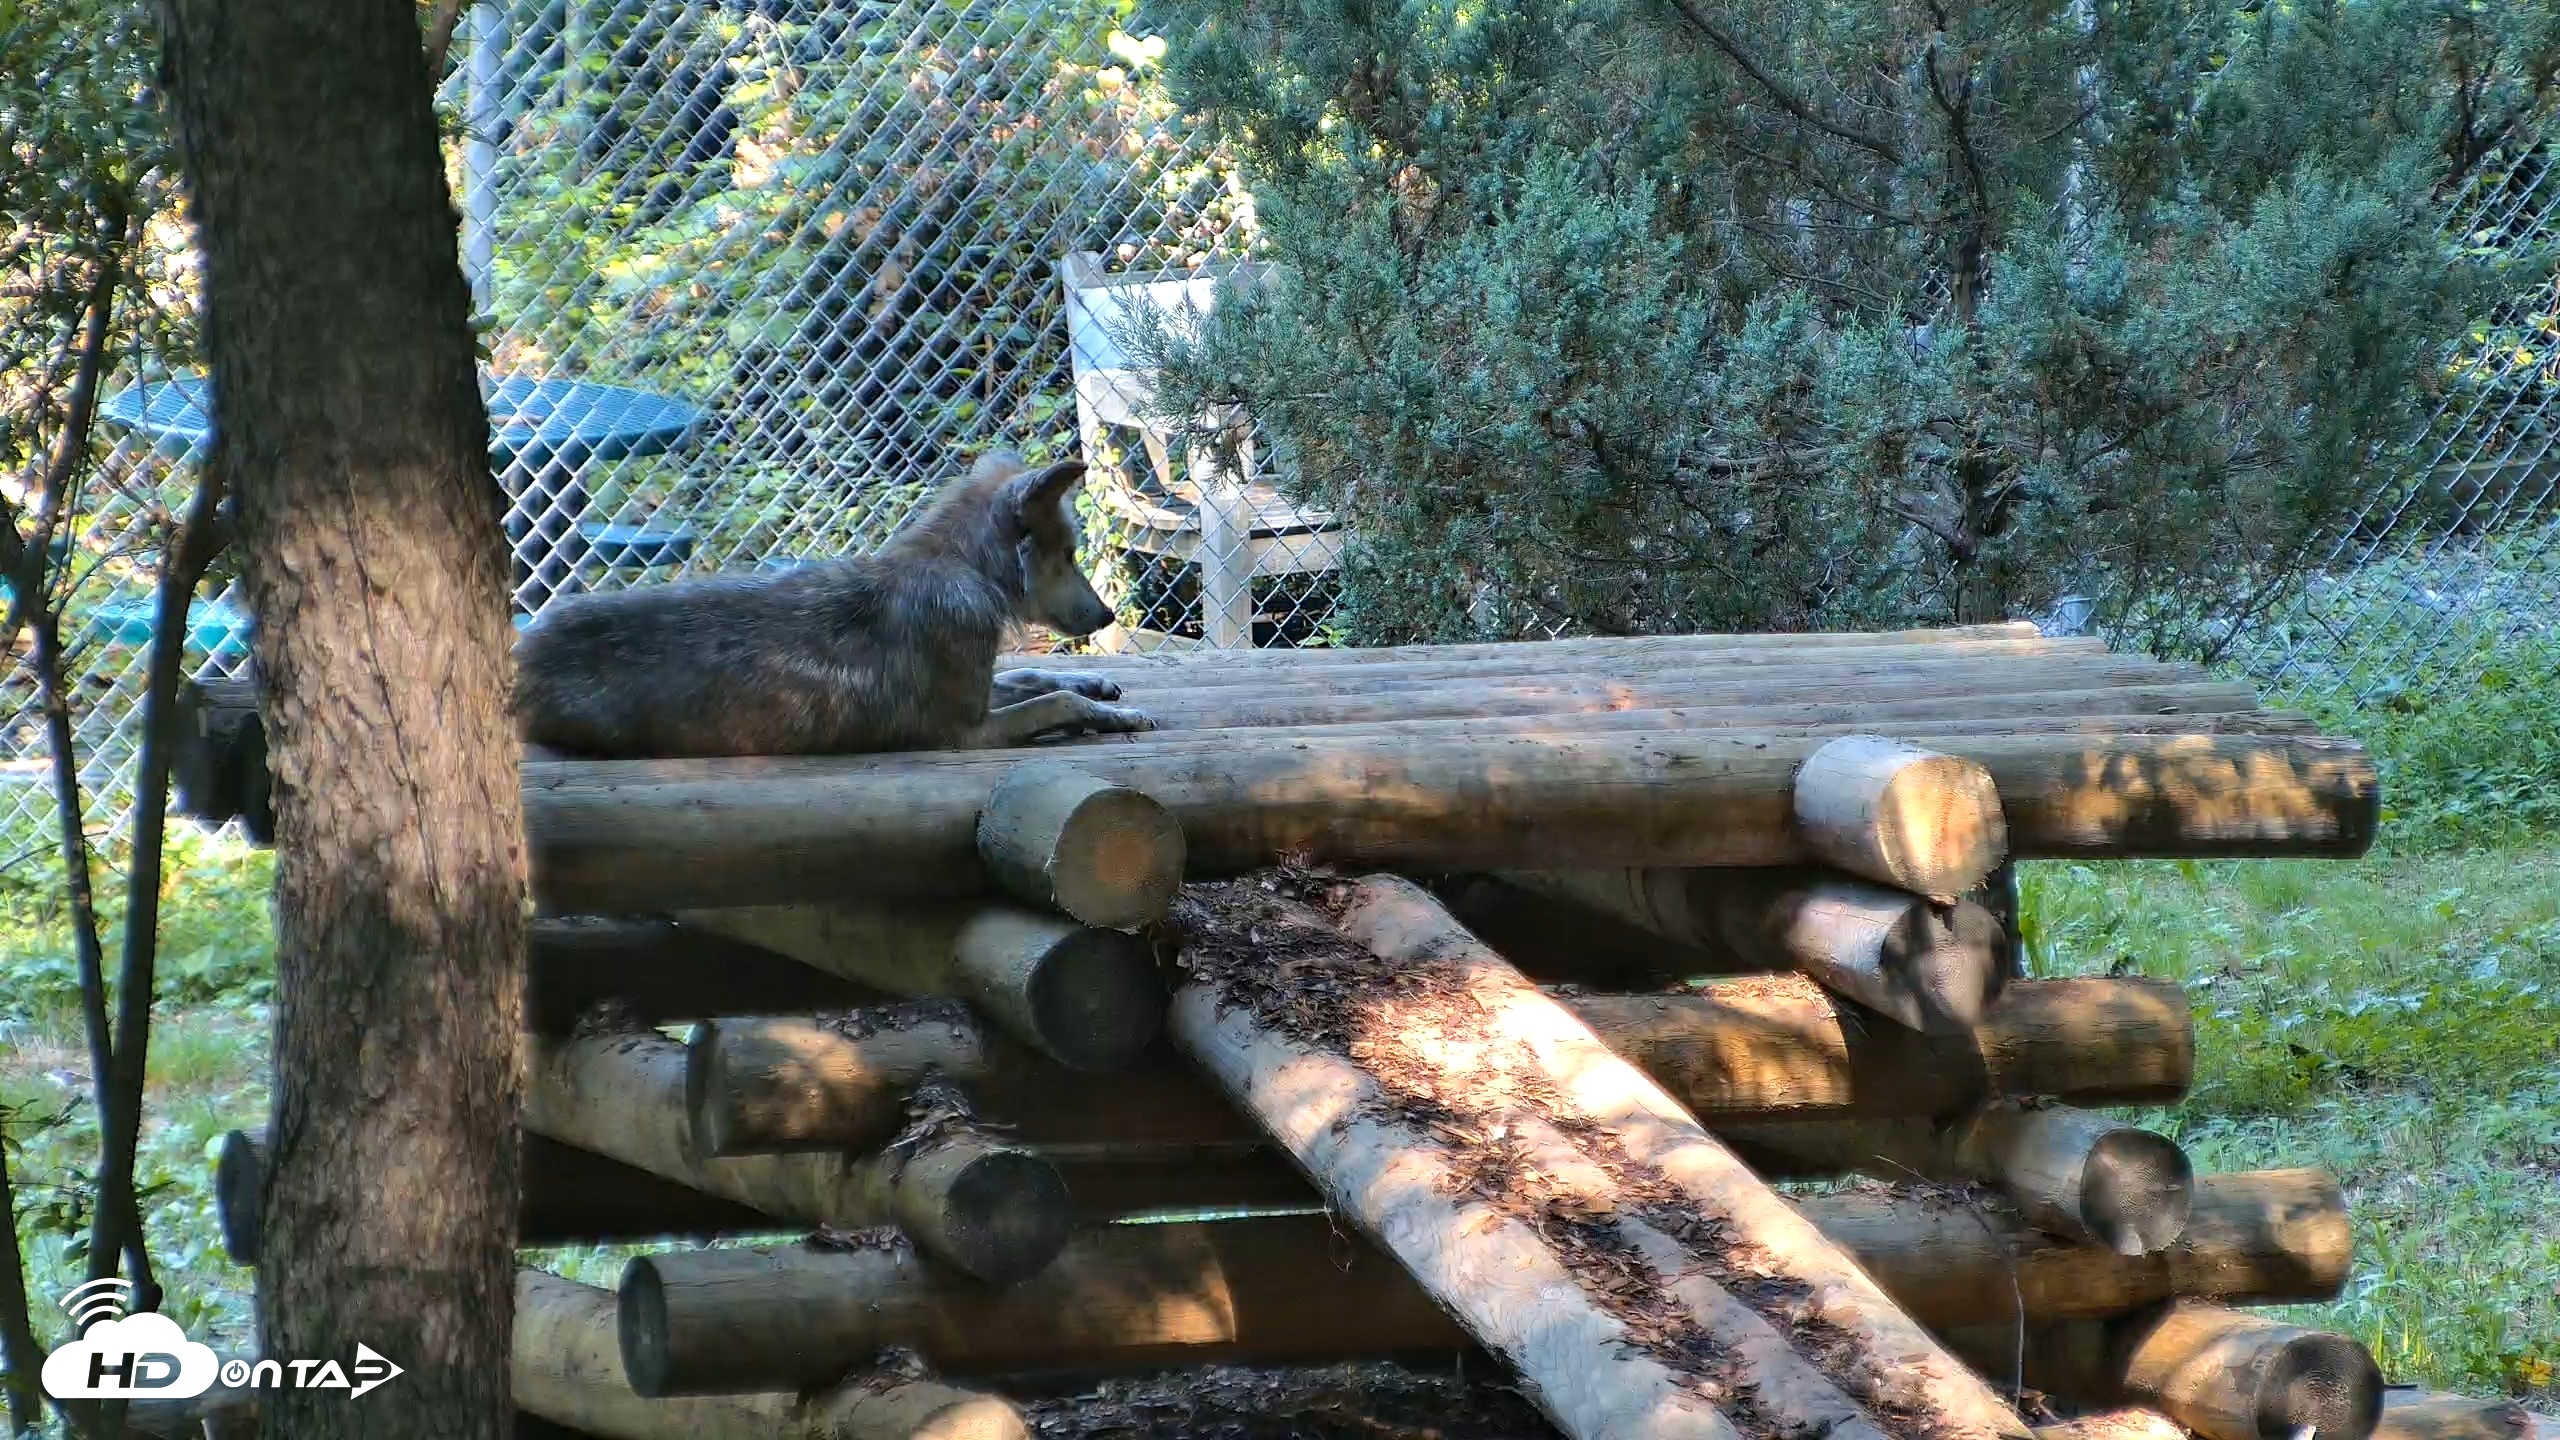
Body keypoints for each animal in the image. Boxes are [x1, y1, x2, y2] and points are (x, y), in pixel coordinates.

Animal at [513, 450, 1152, 758]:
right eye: (1067, 554)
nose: (1108, 617)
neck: (959, 568)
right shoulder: (964, 732)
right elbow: (1052, 701)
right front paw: (1110, 715)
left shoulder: (980, 690)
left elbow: (1036, 676)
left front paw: (1096, 686)